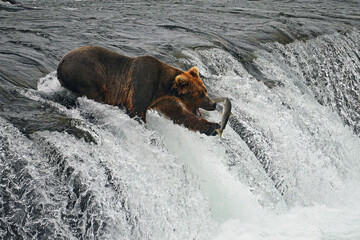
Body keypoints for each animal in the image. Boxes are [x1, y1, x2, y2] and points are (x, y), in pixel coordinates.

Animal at [57, 45, 219, 135]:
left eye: (205, 89)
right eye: (201, 93)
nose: (214, 104)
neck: (164, 86)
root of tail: (61, 62)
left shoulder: (161, 98)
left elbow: (179, 114)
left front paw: (213, 127)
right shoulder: (144, 82)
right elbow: (136, 110)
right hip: (88, 72)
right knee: (95, 94)